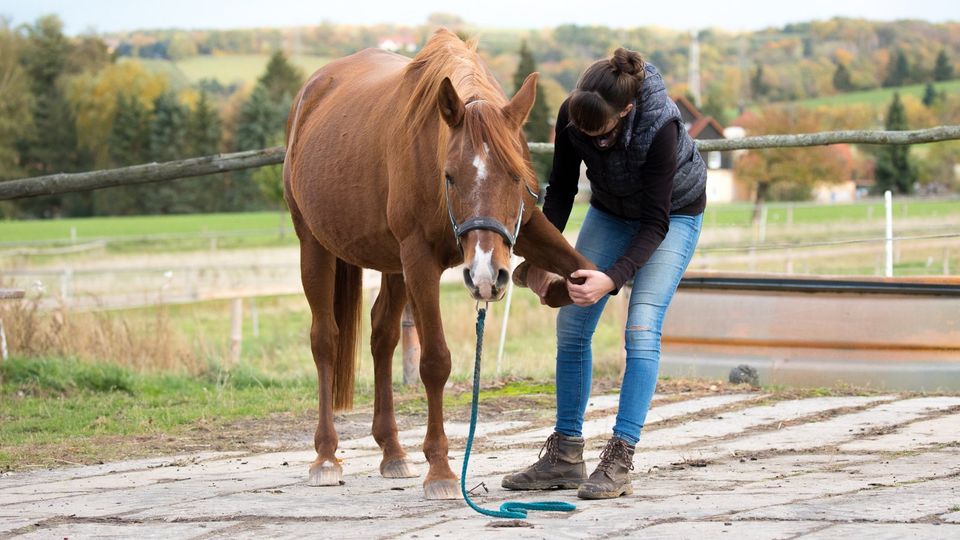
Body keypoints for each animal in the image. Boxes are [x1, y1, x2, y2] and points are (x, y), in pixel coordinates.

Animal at [282, 29, 588, 500]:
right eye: (450, 176)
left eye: (516, 176)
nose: (488, 276)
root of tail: (311, 93)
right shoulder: (419, 260)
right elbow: (435, 362)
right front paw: (441, 470)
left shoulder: (529, 230)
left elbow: (582, 265)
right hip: (314, 245)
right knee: (325, 341)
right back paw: (326, 456)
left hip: (390, 264)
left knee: (382, 336)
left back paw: (392, 451)